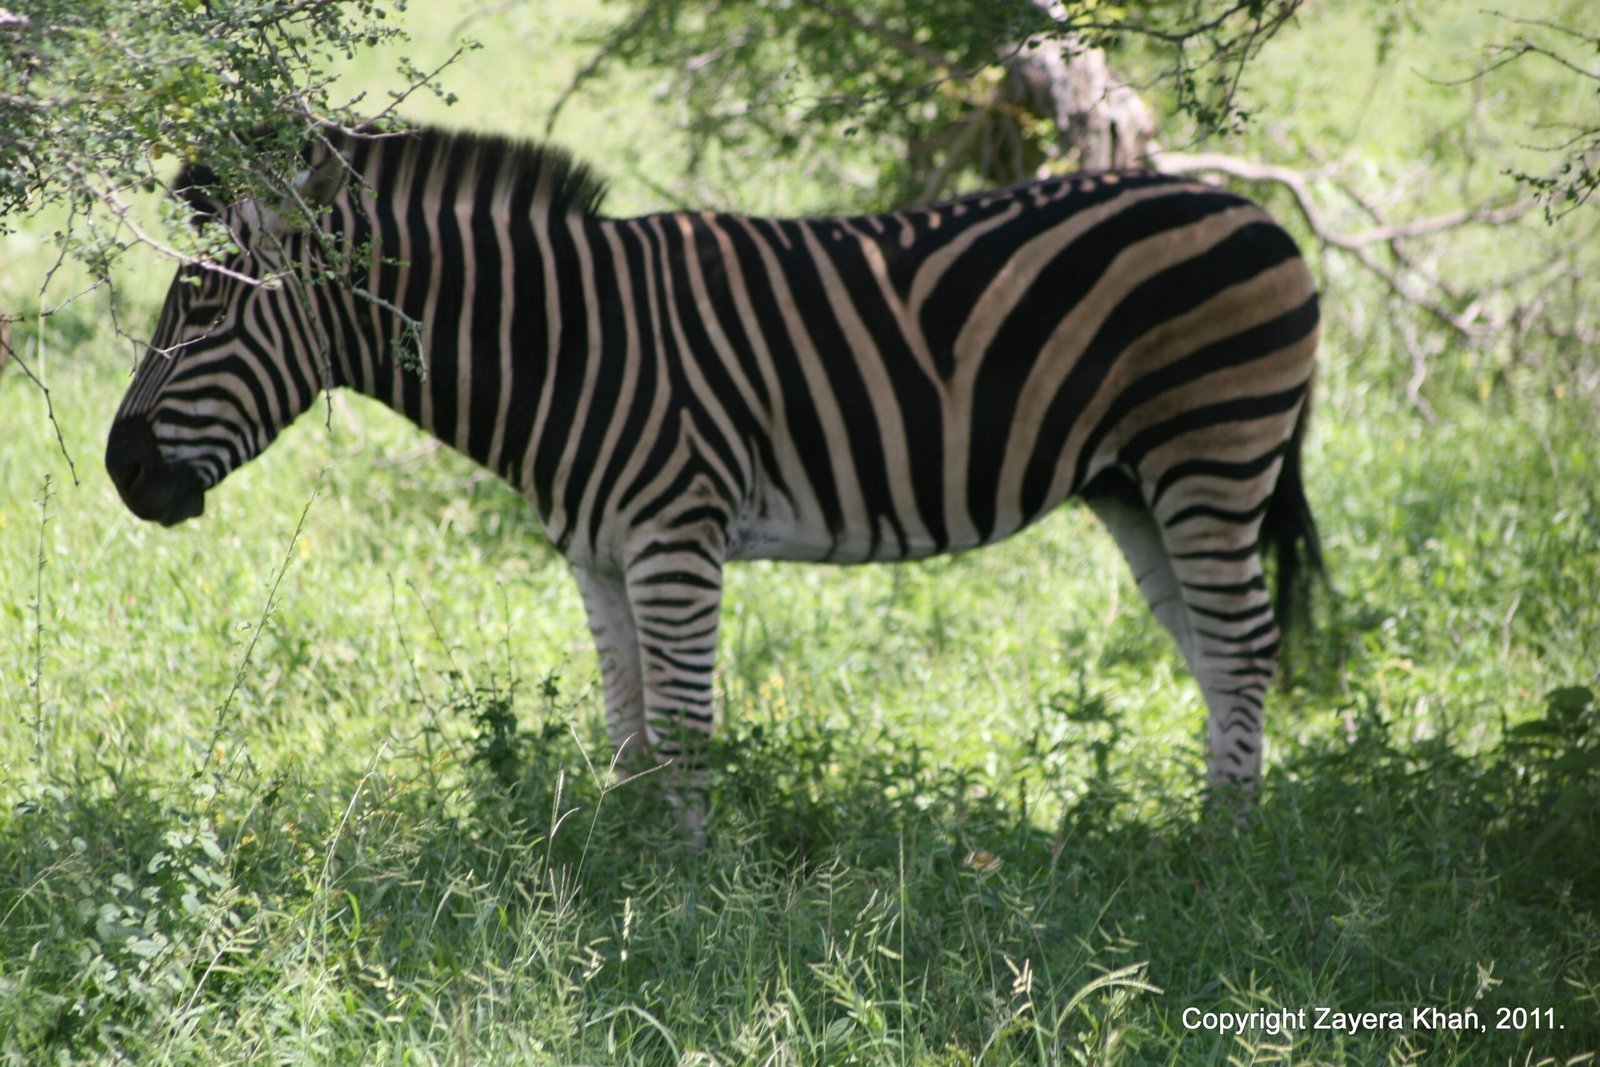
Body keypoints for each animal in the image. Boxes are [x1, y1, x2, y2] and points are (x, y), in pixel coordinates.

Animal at [106, 126, 1321, 829]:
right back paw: (1200, 825)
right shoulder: (597, 555)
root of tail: (1249, 208)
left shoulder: (674, 539)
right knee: (1209, 646)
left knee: (1243, 643)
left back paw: (1226, 848)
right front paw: (630, 866)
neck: (565, 344)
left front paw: (692, 896)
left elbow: (685, 724)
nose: (121, 472)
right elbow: (627, 721)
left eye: (205, 307)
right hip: (1129, 480)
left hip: (1209, 450)